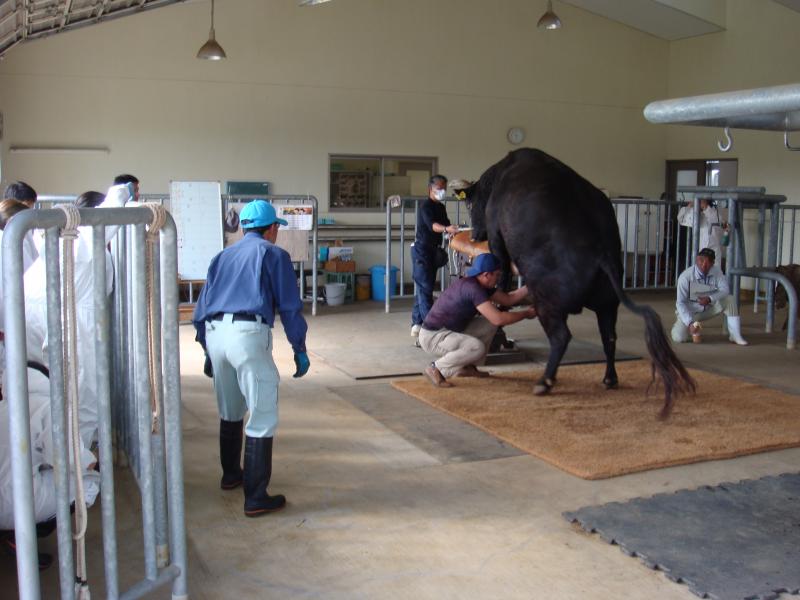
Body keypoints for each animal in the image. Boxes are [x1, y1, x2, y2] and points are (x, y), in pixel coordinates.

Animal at [462, 148, 692, 420]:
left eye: (471, 204)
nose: (475, 235)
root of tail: (600, 252)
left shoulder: (497, 236)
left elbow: (503, 269)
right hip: (608, 304)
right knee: (608, 336)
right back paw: (609, 379)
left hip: (548, 303)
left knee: (561, 336)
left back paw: (544, 382)